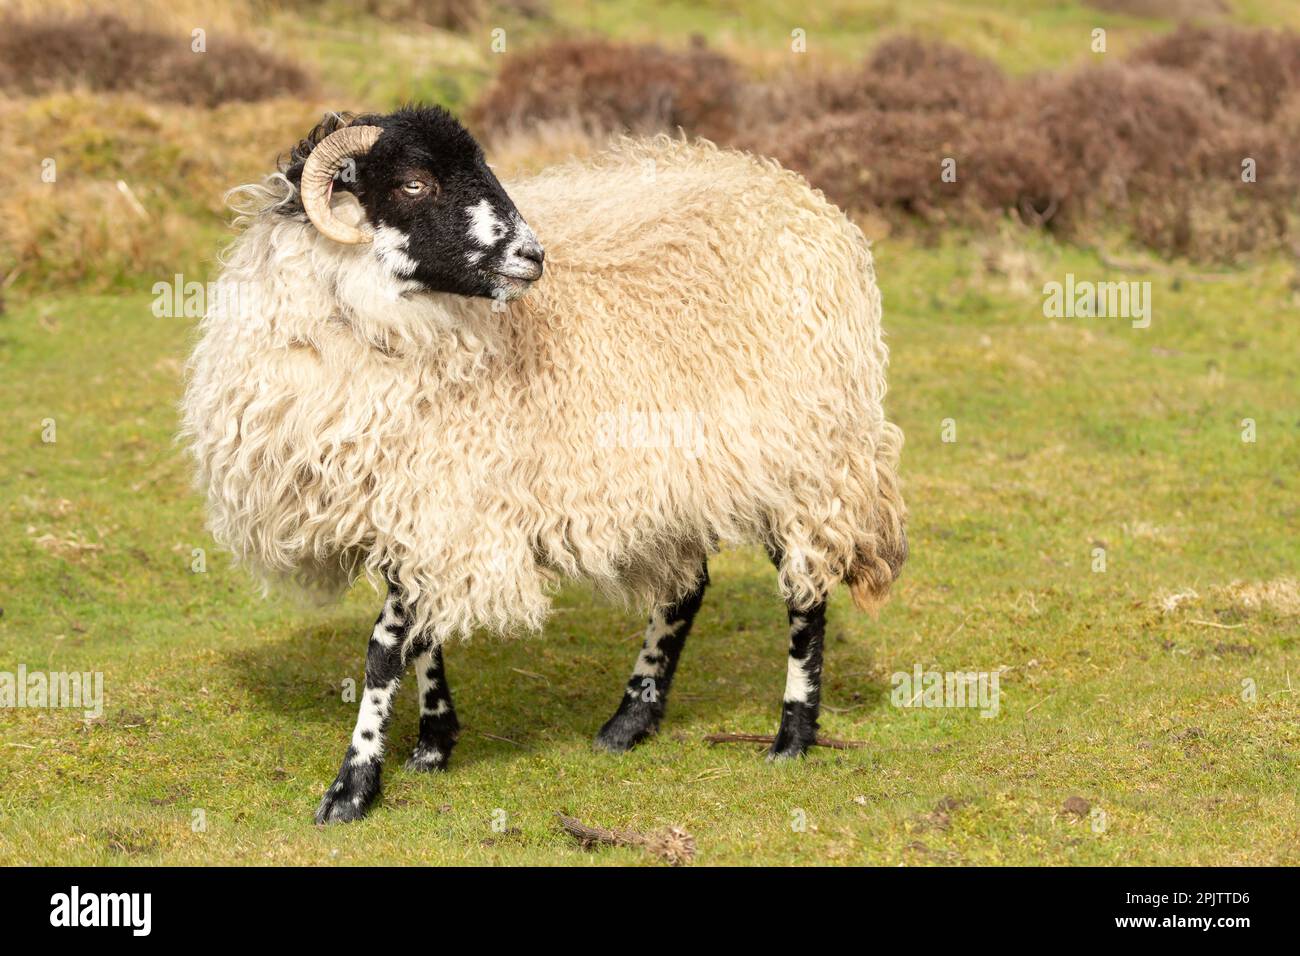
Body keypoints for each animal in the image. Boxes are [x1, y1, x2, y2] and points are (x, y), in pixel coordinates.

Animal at [183, 102, 909, 822]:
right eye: (415, 183)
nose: (532, 255)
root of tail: (797, 195)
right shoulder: (415, 501)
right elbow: (422, 633)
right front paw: (434, 741)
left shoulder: (442, 494)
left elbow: (385, 650)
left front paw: (353, 784)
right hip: (682, 472)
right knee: (686, 588)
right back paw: (630, 720)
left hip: (803, 453)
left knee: (804, 590)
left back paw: (792, 735)